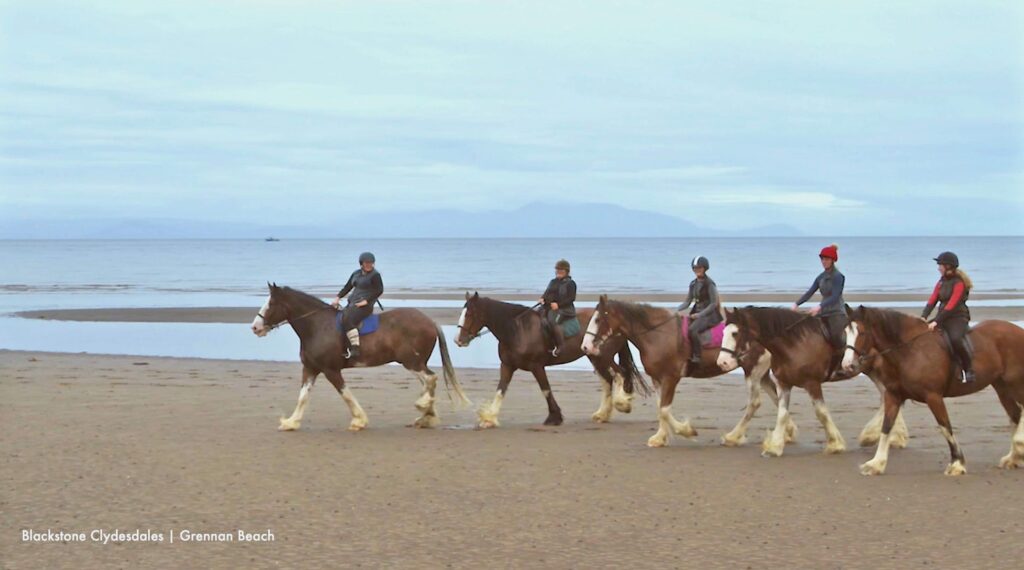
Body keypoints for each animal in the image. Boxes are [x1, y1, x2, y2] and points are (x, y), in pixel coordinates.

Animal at [251, 284, 471, 431]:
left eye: (271, 303)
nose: (255, 327)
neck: (318, 326)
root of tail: (430, 321)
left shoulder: (331, 370)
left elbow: (345, 394)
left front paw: (359, 420)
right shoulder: (311, 368)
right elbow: (303, 396)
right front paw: (291, 422)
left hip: (412, 362)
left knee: (431, 378)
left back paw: (423, 408)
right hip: (414, 363)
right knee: (428, 382)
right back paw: (427, 416)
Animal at [454, 292, 649, 428]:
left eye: (470, 314)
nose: (458, 340)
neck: (518, 330)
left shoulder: (537, 366)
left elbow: (546, 389)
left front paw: (554, 417)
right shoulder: (507, 366)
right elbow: (500, 390)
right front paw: (490, 418)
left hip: (604, 356)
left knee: (620, 374)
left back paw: (622, 404)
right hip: (595, 357)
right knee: (608, 380)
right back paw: (602, 414)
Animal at [581, 295, 797, 448]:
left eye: (598, 319)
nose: (585, 346)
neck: (657, 334)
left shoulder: (671, 378)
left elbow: (665, 409)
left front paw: (686, 431)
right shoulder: (657, 379)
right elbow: (660, 408)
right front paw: (660, 438)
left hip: (752, 371)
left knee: (755, 403)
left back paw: (733, 437)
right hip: (762, 373)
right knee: (777, 398)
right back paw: (787, 433)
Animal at [717, 306, 908, 457]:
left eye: (734, 333)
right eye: (723, 332)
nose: (722, 362)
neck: (793, 344)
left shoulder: (812, 384)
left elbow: (821, 412)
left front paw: (835, 444)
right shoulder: (783, 384)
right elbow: (782, 414)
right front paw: (775, 447)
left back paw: (874, 435)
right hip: (873, 372)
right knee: (886, 398)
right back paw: (891, 437)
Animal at [843, 305, 1024, 476]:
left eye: (862, 332)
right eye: (845, 332)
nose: (847, 365)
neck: (909, 350)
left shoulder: (933, 397)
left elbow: (945, 427)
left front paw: (957, 464)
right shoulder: (893, 396)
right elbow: (886, 426)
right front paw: (876, 464)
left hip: (1015, 384)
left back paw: (1019, 445)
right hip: (1002, 388)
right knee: (1015, 415)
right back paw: (1013, 457)